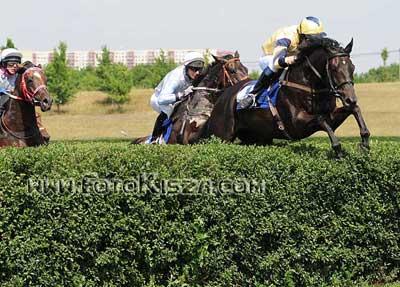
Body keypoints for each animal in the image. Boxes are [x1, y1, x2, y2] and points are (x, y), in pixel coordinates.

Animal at [208, 38, 370, 158]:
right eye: (334, 68)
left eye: (352, 67)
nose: (350, 98)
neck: (309, 86)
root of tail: (223, 95)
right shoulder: (296, 124)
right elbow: (320, 119)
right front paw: (338, 149)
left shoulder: (331, 118)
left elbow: (354, 110)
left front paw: (365, 143)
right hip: (223, 136)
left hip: (256, 138)